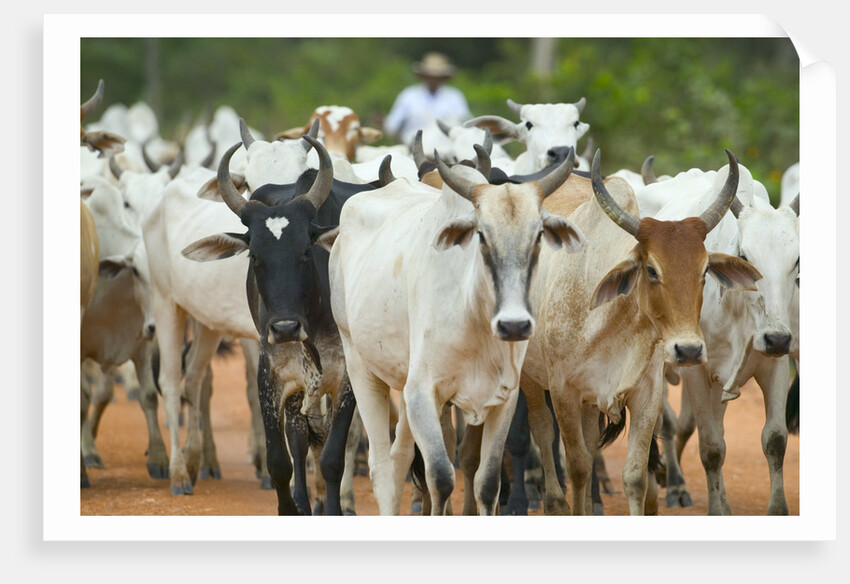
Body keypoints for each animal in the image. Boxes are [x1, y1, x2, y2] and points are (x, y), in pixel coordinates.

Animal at [327, 143, 586, 515]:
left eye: (538, 235)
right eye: (481, 235)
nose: (514, 325)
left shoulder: (504, 399)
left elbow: (487, 483)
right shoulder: (422, 393)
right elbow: (440, 476)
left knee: (400, 456)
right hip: (359, 364)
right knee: (381, 467)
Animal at [515, 150, 761, 515]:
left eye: (705, 271)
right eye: (651, 269)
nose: (688, 350)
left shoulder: (646, 395)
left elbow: (634, 476)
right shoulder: (563, 393)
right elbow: (578, 466)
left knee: (590, 442)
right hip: (532, 380)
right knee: (543, 431)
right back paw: (554, 502)